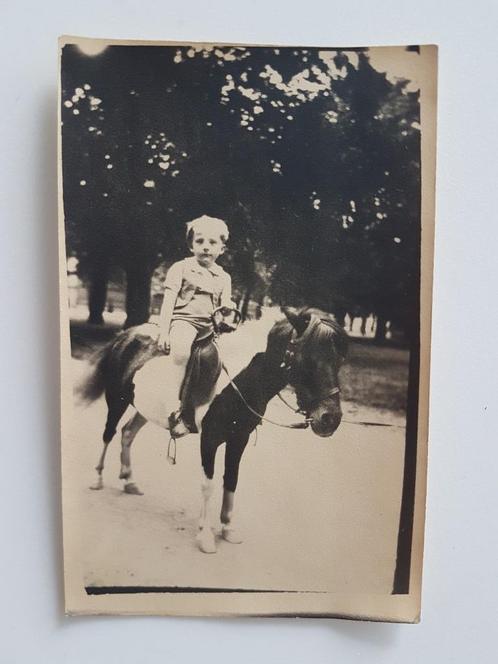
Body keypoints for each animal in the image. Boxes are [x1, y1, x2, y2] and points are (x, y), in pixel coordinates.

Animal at [80, 308, 348, 552]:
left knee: (127, 433)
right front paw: (205, 536)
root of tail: (126, 334)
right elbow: (208, 485)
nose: (330, 419)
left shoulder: (239, 438)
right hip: (117, 399)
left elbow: (231, 479)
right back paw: (97, 479)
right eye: (308, 360)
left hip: (145, 409)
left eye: (338, 362)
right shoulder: (210, 439)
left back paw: (130, 481)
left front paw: (228, 529)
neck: (238, 380)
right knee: (109, 433)